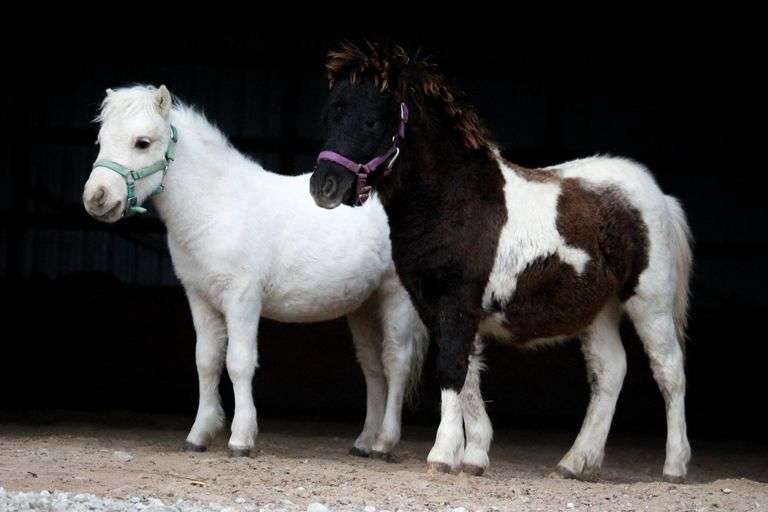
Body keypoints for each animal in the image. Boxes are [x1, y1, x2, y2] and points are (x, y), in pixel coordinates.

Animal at [82, 84, 427, 459]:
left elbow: (239, 362)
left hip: (395, 295)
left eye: (142, 142)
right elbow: (206, 361)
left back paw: (383, 443)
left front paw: (241, 439)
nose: (96, 198)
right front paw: (198, 435)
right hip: (363, 305)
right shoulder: (200, 298)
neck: (216, 207)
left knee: (396, 362)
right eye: (101, 140)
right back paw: (363, 441)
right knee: (372, 367)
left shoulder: (242, 298)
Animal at [310, 43, 693, 483]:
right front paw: (474, 456)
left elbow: (452, 369)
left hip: (650, 302)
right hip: (598, 311)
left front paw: (442, 455)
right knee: (609, 373)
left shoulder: (457, 303)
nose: (323, 187)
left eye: (372, 120)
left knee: (669, 371)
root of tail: (659, 196)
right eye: (330, 115)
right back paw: (575, 462)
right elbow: (467, 375)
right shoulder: (439, 308)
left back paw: (674, 466)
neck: (455, 202)